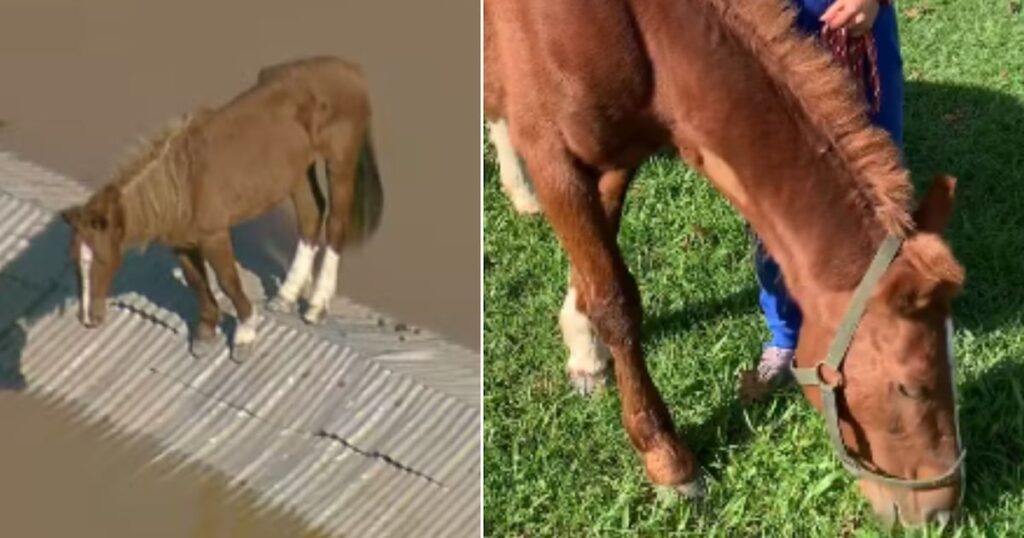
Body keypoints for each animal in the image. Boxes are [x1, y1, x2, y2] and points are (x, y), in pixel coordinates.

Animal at [61, 56, 384, 360]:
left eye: (102, 259)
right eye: (74, 261)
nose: (88, 319)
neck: (182, 184)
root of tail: (351, 69)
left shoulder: (214, 235)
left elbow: (228, 281)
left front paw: (244, 335)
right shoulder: (181, 243)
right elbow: (197, 282)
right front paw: (205, 333)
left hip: (339, 162)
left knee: (336, 225)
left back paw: (316, 306)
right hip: (298, 171)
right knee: (311, 217)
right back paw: (286, 296)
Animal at [485, 0, 965, 528]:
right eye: (911, 387)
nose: (942, 512)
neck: (639, 28)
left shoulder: (617, 154)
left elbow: (596, 268)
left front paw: (584, 348)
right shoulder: (554, 158)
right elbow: (615, 301)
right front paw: (668, 461)